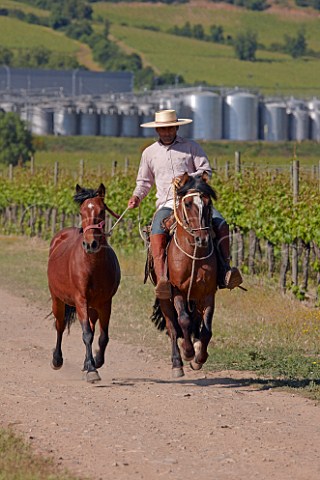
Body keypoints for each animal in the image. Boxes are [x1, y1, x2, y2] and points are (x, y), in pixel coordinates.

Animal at [47, 184, 121, 382]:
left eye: (102, 211)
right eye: (81, 212)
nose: (91, 244)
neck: (93, 265)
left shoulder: (105, 303)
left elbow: (103, 336)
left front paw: (96, 361)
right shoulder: (80, 300)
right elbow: (86, 334)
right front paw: (92, 370)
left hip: (93, 307)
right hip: (58, 299)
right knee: (60, 325)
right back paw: (57, 359)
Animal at [152, 172, 218, 378]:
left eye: (208, 202)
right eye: (188, 204)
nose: (202, 239)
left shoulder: (208, 293)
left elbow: (206, 329)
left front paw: (199, 357)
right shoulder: (177, 291)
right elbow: (183, 321)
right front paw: (188, 352)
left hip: (195, 298)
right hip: (165, 298)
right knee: (173, 327)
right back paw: (177, 364)